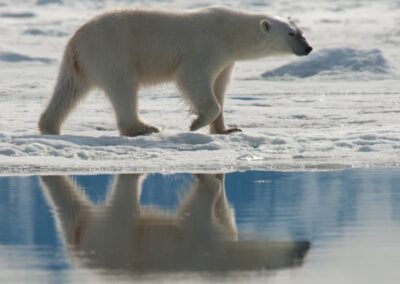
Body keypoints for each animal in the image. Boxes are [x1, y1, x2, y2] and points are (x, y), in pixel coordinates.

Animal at [38, 5, 312, 136]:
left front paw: (227, 129)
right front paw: (195, 123)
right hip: (113, 50)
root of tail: (77, 39)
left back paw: (49, 126)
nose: (308, 48)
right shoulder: (207, 47)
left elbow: (220, 87)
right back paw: (143, 128)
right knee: (124, 87)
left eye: (300, 31)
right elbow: (193, 79)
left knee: (68, 89)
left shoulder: (226, 60)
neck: (230, 32)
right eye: (291, 34)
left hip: (79, 62)